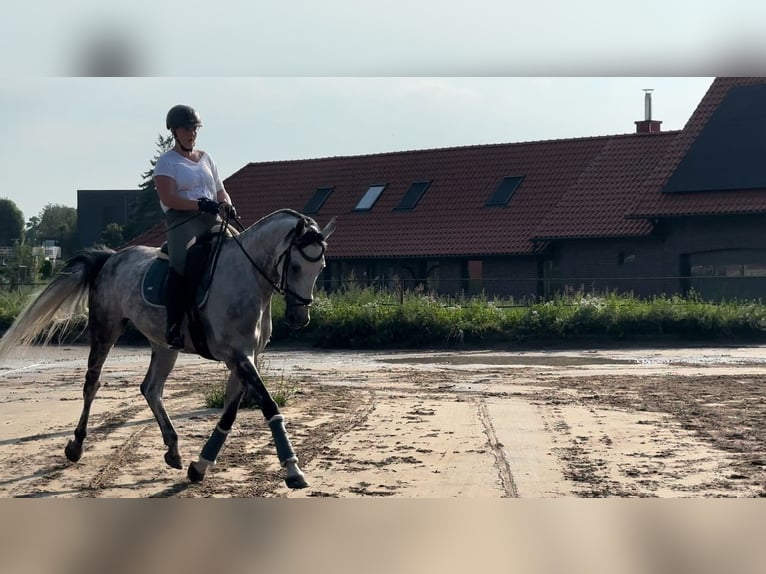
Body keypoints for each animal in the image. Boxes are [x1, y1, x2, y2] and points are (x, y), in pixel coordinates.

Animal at [0, 208, 336, 490]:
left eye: (321, 267)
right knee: (92, 384)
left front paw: (199, 466)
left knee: (151, 388)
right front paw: (293, 469)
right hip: (106, 329)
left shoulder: (244, 358)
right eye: (295, 266)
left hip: (164, 345)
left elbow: (229, 415)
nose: (299, 318)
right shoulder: (237, 356)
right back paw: (76, 446)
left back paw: (173, 448)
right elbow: (269, 405)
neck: (248, 277)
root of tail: (111, 258)